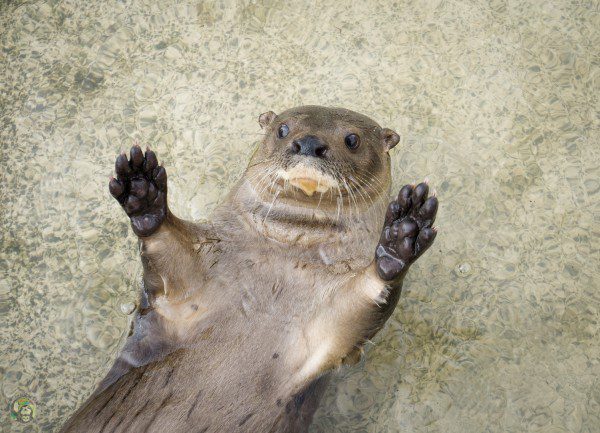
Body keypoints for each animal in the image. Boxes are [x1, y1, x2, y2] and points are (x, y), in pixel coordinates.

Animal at [61, 105, 438, 432]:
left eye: (352, 139)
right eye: (283, 129)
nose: (309, 143)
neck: (275, 265)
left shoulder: (324, 335)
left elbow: (365, 304)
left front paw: (400, 235)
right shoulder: (189, 286)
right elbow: (165, 248)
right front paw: (142, 190)